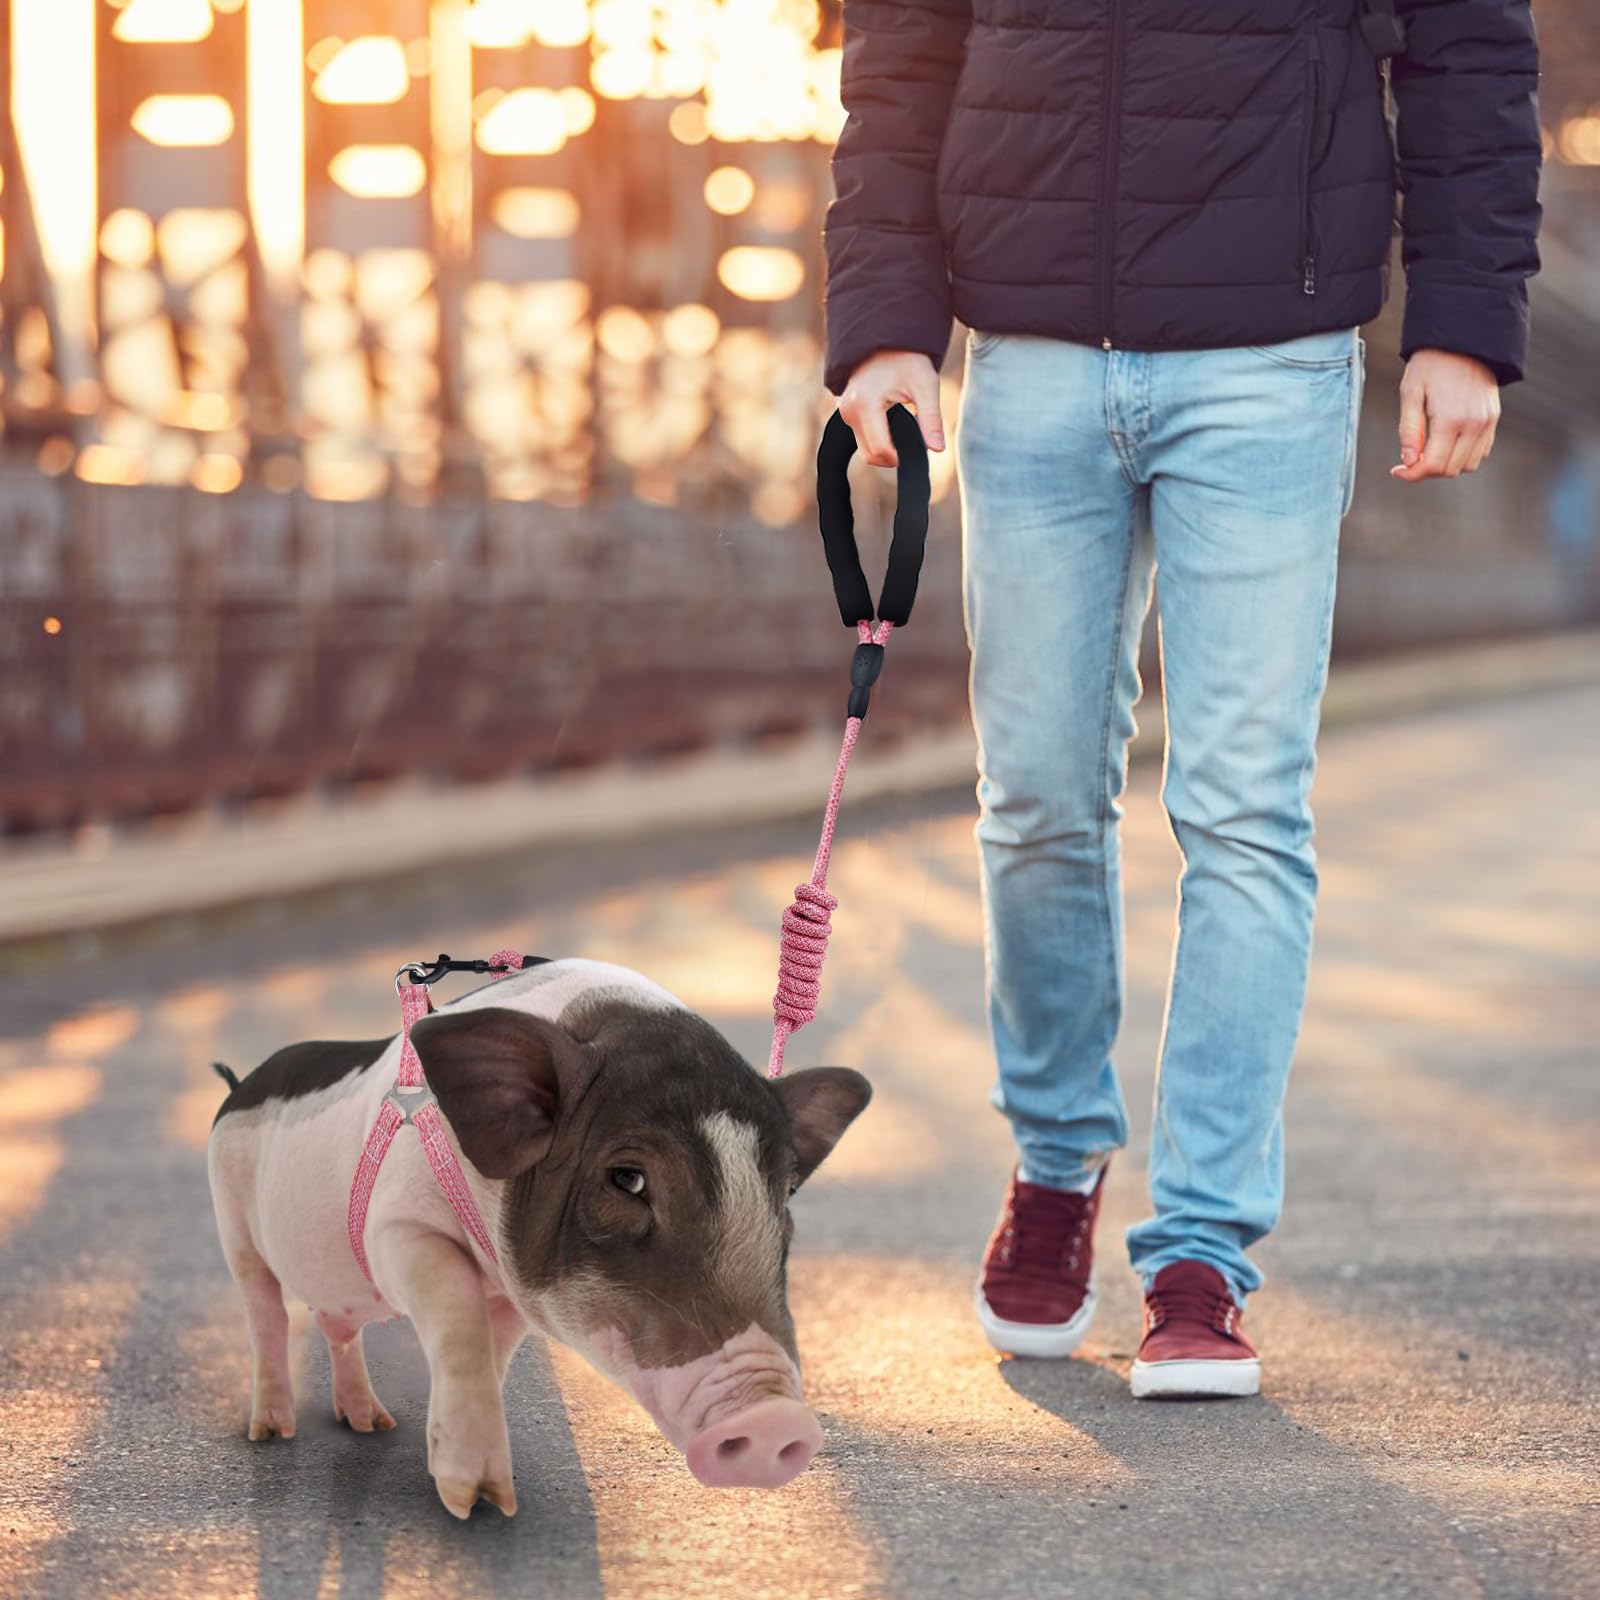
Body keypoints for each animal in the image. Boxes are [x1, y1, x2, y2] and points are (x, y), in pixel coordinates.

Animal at [207, 958, 870, 1516]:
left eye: (786, 1192)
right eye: (627, 1178)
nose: (779, 1420)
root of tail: (238, 1086)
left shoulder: (509, 1288)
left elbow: (492, 1350)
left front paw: (478, 1493)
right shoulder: (397, 1227)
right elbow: (458, 1321)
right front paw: (478, 1504)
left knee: (337, 1328)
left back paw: (372, 1424)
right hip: (232, 1220)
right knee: (265, 1315)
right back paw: (272, 1432)